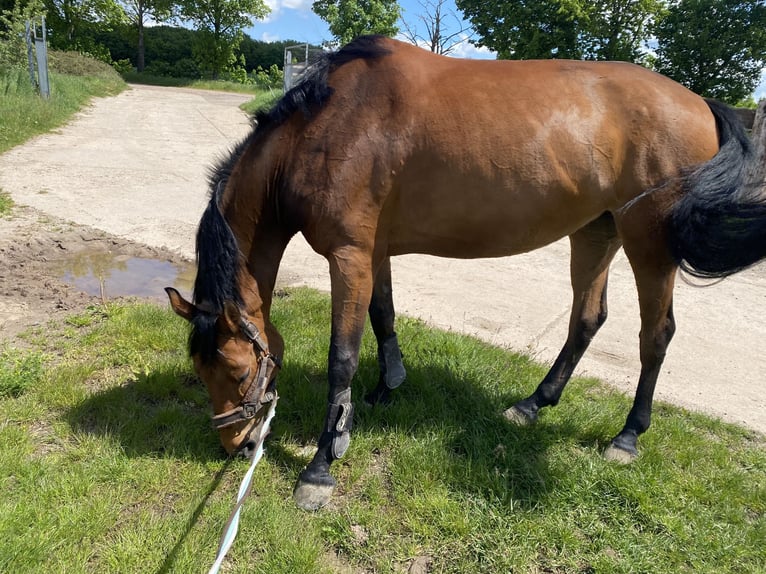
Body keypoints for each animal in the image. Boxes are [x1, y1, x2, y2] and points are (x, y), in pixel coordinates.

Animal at [166, 36, 766, 511]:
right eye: (199, 370)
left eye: (237, 371)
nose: (237, 446)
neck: (325, 126)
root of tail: (702, 104)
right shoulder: (374, 252)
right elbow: (383, 317)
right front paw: (385, 388)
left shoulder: (349, 254)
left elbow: (343, 355)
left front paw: (321, 465)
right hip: (596, 232)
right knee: (587, 318)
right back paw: (533, 404)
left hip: (649, 245)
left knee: (655, 334)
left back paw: (628, 436)